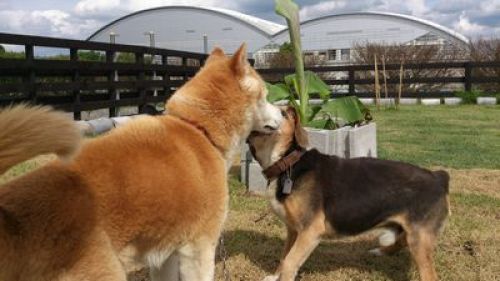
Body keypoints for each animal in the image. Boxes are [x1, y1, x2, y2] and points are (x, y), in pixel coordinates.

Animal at [248, 106, 452, 280]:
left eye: (283, 113)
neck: (287, 163)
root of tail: (438, 177)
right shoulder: (293, 230)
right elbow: (284, 256)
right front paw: (275, 276)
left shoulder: (310, 230)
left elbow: (290, 261)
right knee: (402, 241)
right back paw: (381, 251)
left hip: (419, 238)